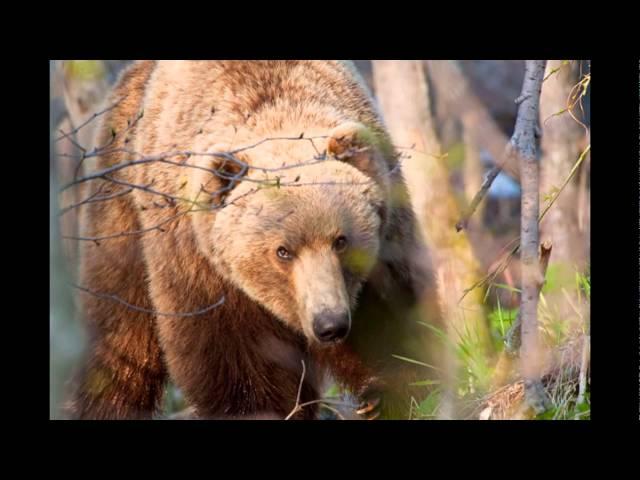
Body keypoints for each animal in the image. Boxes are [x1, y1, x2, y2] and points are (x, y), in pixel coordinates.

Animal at [67, 60, 442, 420]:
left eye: (341, 240)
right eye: (282, 251)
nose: (329, 324)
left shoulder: (385, 244)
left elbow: (398, 321)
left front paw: (386, 397)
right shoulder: (202, 271)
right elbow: (236, 366)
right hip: (121, 213)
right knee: (119, 337)